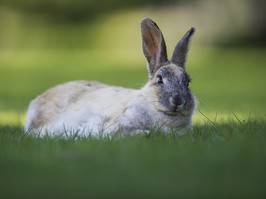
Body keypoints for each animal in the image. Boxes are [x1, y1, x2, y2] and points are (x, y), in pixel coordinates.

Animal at [24, 17, 195, 137]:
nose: (177, 101)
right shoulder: (116, 126)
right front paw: (146, 134)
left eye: (187, 83)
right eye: (159, 79)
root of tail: (36, 102)